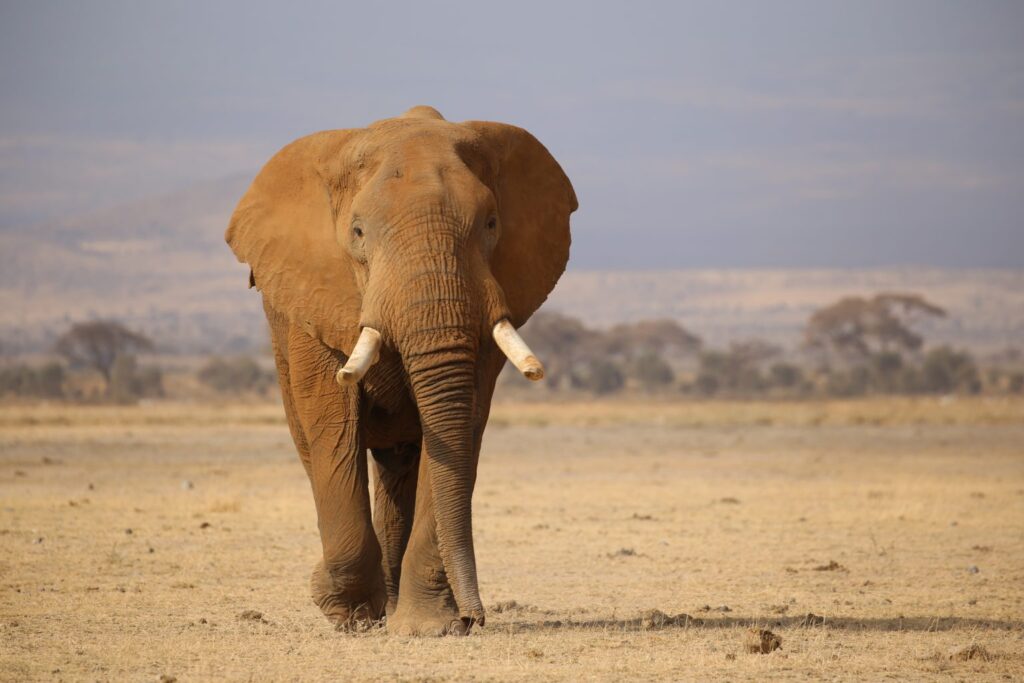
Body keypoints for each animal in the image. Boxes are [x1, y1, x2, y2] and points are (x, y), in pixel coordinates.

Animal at [225, 106, 577, 636]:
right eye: (357, 233)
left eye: (492, 224)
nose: (476, 617)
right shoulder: (314, 296)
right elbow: (334, 422)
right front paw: (348, 615)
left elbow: (459, 427)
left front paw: (428, 626)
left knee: (399, 467)